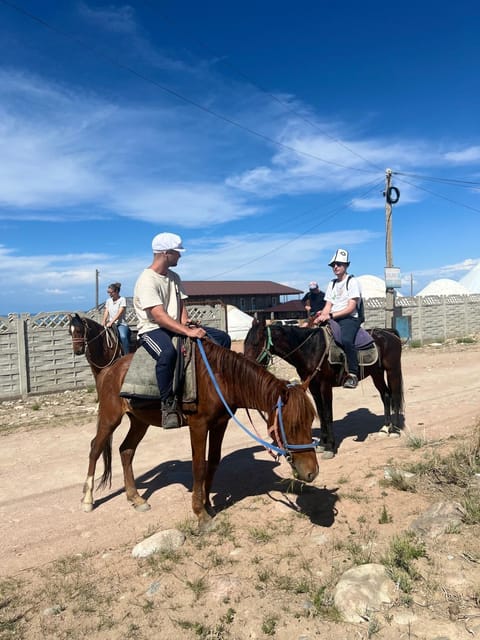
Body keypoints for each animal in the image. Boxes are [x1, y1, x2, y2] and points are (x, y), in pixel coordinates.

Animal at [75, 338, 316, 528]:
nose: (312, 473)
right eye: (292, 424)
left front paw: (208, 505)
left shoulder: (220, 423)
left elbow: (213, 462)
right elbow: (198, 466)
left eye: (311, 419)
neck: (220, 379)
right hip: (110, 418)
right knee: (95, 448)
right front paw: (201, 514)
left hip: (139, 422)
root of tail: (108, 371)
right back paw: (87, 500)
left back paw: (135, 498)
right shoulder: (199, 426)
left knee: (126, 450)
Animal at [244, 318, 404, 458]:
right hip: (376, 374)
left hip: (392, 371)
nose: (247, 369)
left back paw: (395, 430)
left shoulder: (325, 386)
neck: (310, 349)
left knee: (395, 396)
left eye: (256, 343)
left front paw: (330, 447)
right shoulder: (313, 387)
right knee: (385, 395)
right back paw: (385, 428)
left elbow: (327, 415)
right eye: (245, 343)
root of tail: (389, 333)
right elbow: (320, 414)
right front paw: (322, 443)